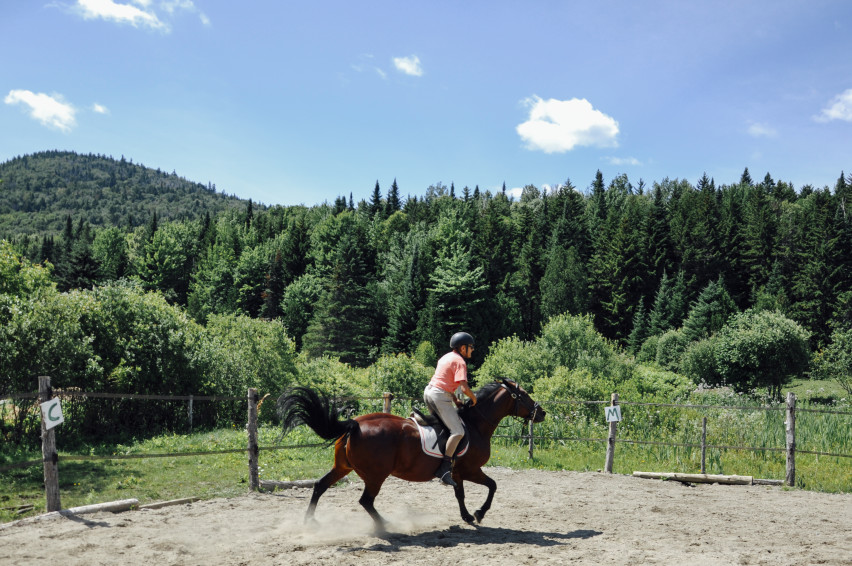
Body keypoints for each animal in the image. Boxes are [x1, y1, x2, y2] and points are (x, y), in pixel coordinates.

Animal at [280, 380, 544, 536]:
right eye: (524, 395)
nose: (541, 412)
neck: (475, 424)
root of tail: (355, 424)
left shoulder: (457, 472)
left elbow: (460, 494)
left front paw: (468, 516)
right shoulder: (471, 470)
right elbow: (492, 485)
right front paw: (479, 513)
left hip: (342, 467)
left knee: (320, 485)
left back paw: (310, 522)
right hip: (376, 475)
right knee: (366, 501)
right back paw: (385, 525)